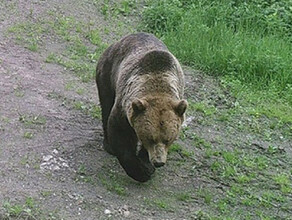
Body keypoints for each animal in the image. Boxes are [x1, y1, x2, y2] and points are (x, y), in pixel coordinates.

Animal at [96, 31, 187, 182]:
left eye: (168, 139)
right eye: (150, 138)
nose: (159, 162)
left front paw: (146, 164)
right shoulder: (124, 108)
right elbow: (120, 134)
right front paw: (141, 172)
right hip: (107, 72)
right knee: (106, 104)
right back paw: (108, 144)